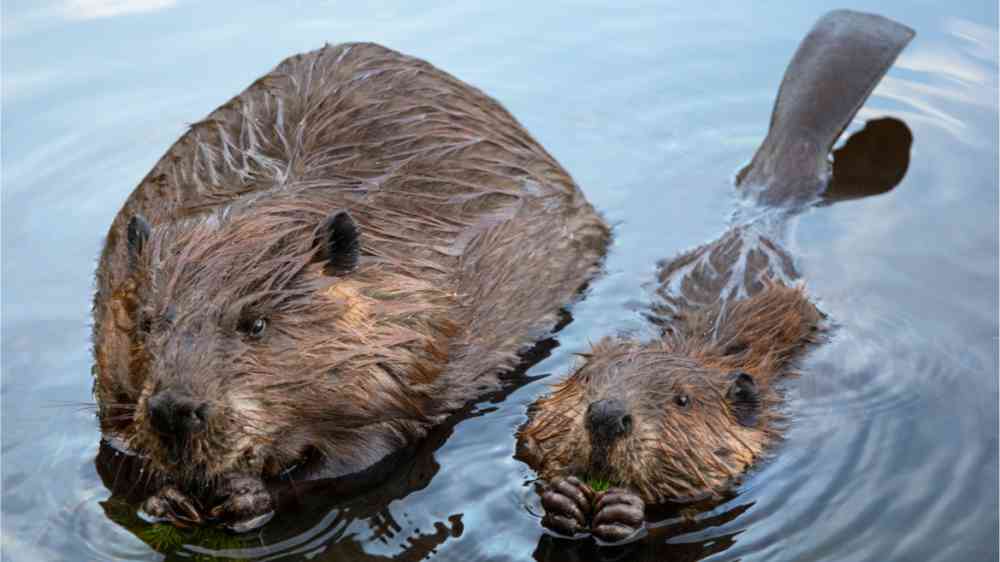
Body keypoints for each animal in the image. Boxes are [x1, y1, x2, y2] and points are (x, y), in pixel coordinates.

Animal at [92, 42, 608, 528]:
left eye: (256, 324)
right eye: (148, 323)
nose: (175, 409)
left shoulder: (416, 349)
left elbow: (365, 455)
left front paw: (247, 496)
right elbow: (115, 443)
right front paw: (164, 498)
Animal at [516, 9, 916, 544]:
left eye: (682, 400)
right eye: (585, 379)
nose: (605, 416)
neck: (699, 348)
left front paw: (622, 511)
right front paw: (564, 499)